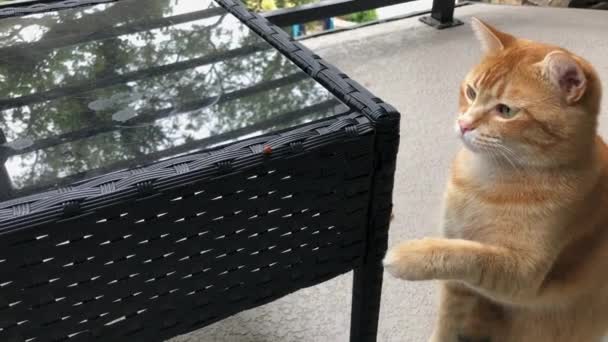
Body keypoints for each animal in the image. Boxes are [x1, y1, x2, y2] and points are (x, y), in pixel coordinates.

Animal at [384, 18, 608, 342]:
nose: (464, 124)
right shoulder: (458, 286)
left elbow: (468, 254)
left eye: (506, 110)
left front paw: (409, 255)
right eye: (471, 92)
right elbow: (447, 322)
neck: (485, 183)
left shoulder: (524, 275)